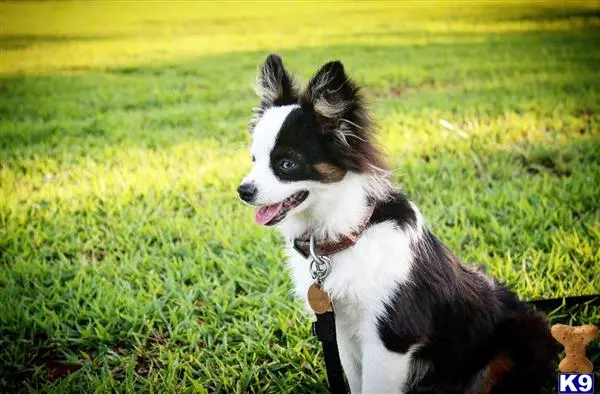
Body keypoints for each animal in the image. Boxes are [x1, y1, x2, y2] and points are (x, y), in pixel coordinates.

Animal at [237, 55, 556, 394]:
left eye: (287, 164)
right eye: (254, 159)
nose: (242, 191)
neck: (347, 233)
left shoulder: (390, 337)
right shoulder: (341, 333)